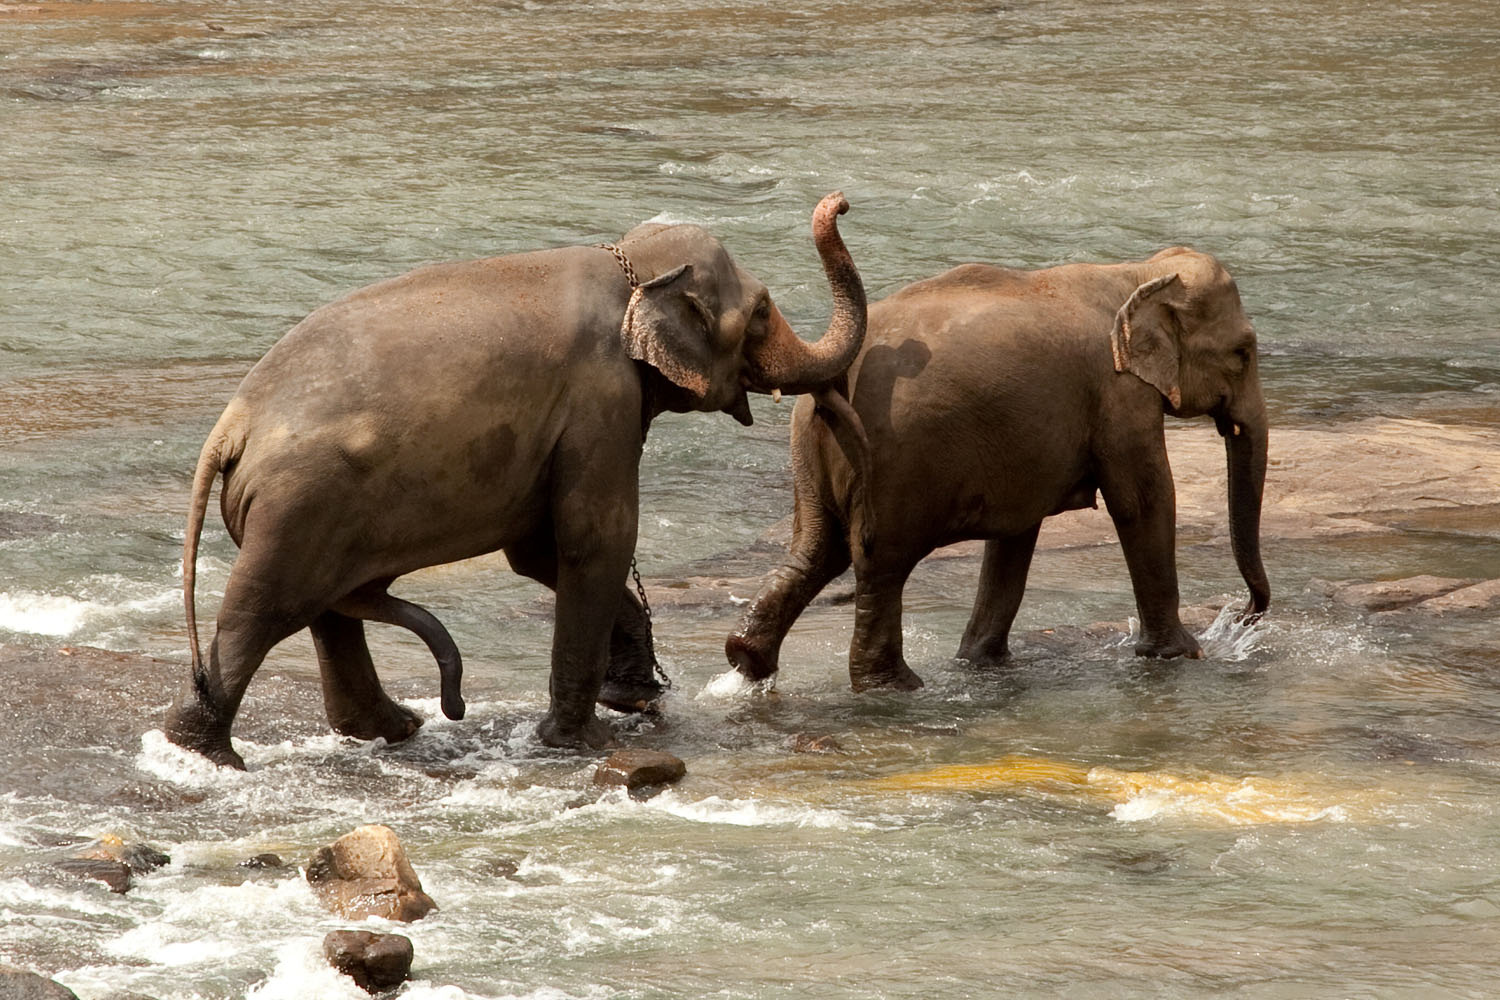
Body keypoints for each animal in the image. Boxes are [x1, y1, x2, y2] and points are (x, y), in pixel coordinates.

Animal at [166, 192, 869, 769]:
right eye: (761, 312)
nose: (842, 202)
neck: (628, 266)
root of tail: (230, 426)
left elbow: (537, 551)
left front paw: (635, 701)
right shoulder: (601, 399)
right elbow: (596, 539)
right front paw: (585, 741)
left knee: (329, 609)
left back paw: (394, 730)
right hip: (299, 505)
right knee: (267, 608)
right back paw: (205, 755)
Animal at [726, 246, 1270, 693]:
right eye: (1243, 353)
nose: (1243, 614)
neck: (1137, 272)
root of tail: (829, 383)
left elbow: (1017, 534)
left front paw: (983, 662)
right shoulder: (1120, 395)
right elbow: (1143, 500)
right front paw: (1183, 655)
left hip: (808, 453)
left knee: (816, 549)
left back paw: (747, 660)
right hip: (894, 465)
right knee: (880, 564)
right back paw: (894, 686)